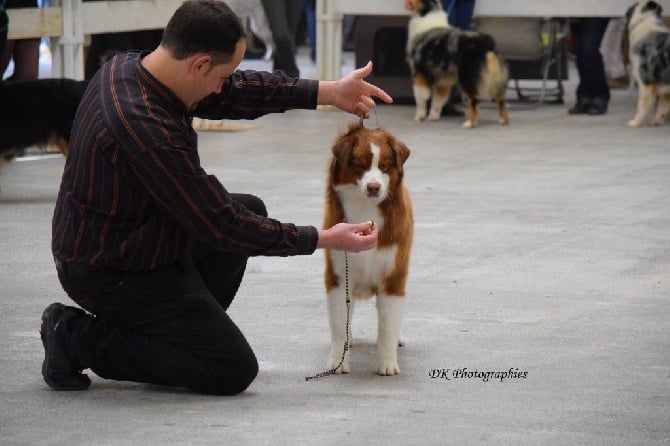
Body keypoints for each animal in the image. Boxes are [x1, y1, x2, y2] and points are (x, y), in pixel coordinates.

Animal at [322, 123, 412, 376]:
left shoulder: (393, 275)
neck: (365, 207)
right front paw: (338, 361)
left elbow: (388, 326)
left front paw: (387, 363)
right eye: (359, 164)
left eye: (385, 166)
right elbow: (339, 324)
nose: (374, 187)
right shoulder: (338, 276)